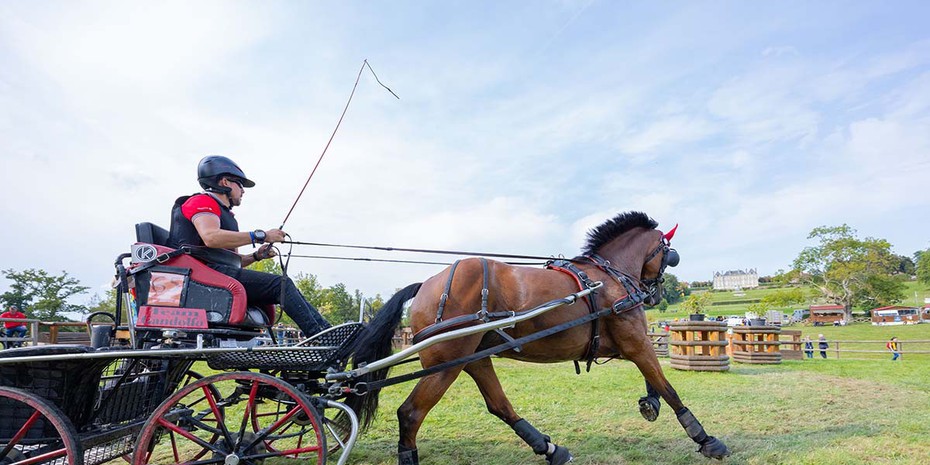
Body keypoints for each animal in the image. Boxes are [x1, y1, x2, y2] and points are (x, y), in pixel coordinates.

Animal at [343, 211, 730, 464]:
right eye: (668, 253)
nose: (654, 291)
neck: (609, 277)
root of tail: (427, 285)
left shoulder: (623, 344)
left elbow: (654, 379)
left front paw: (650, 404)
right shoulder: (635, 341)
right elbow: (667, 385)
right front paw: (706, 440)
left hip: (474, 358)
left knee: (499, 405)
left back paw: (551, 449)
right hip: (445, 363)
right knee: (410, 414)